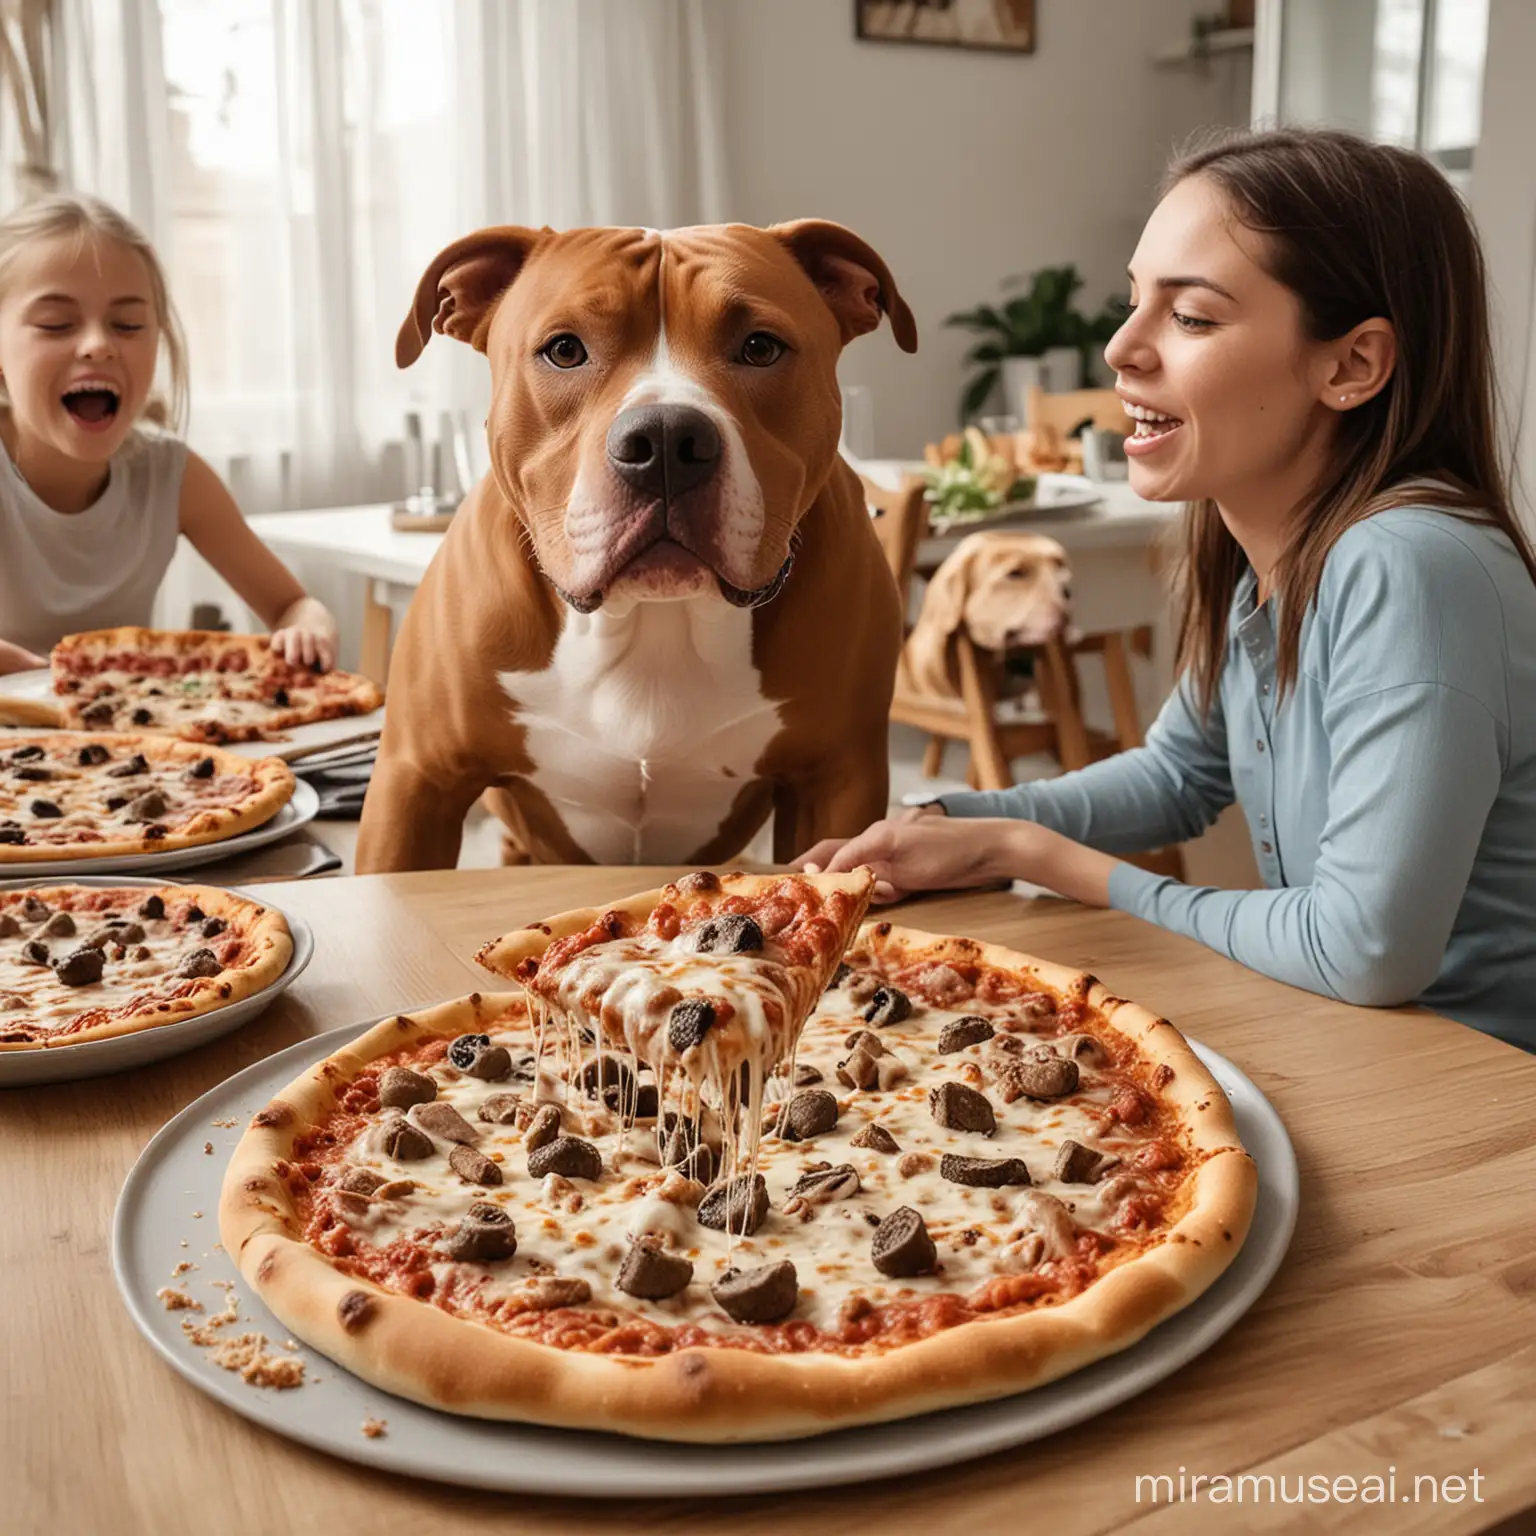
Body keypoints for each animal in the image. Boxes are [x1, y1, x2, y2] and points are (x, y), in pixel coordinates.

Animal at [356, 221, 909, 872]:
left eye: (760, 348)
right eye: (564, 350)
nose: (667, 441)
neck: (654, 619)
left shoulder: (838, 780)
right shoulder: (418, 785)